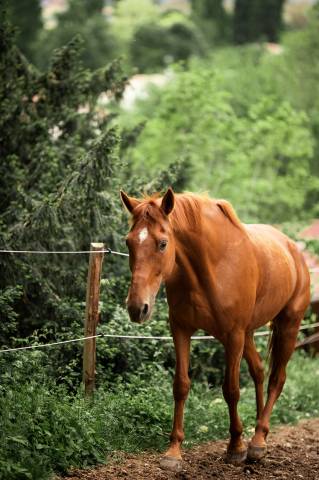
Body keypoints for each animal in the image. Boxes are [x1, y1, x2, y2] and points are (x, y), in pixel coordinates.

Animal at [120, 187, 310, 468]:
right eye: (129, 242)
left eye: (163, 243)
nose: (136, 307)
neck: (212, 266)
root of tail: (292, 248)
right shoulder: (181, 330)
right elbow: (181, 386)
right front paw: (173, 452)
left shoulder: (233, 336)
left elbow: (231, 390)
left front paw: (236, 447)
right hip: (249, 334)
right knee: (259, 372)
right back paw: (260, 432)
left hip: (288, 326)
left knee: (277, 378)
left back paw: (258, 441)